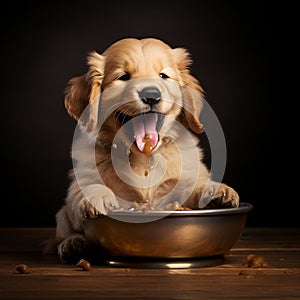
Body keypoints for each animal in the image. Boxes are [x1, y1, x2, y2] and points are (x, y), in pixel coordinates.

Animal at [51, 37, 239, 262]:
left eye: (163, 76)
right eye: (123, 77)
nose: (151, 95)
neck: (144, 156)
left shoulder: (176, 187)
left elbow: (192, 187)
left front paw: (216, 190)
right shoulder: (78, 185)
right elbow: (85, 189)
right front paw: (98, 197)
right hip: (62, 217)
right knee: (64, 229)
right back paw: (73, 244)